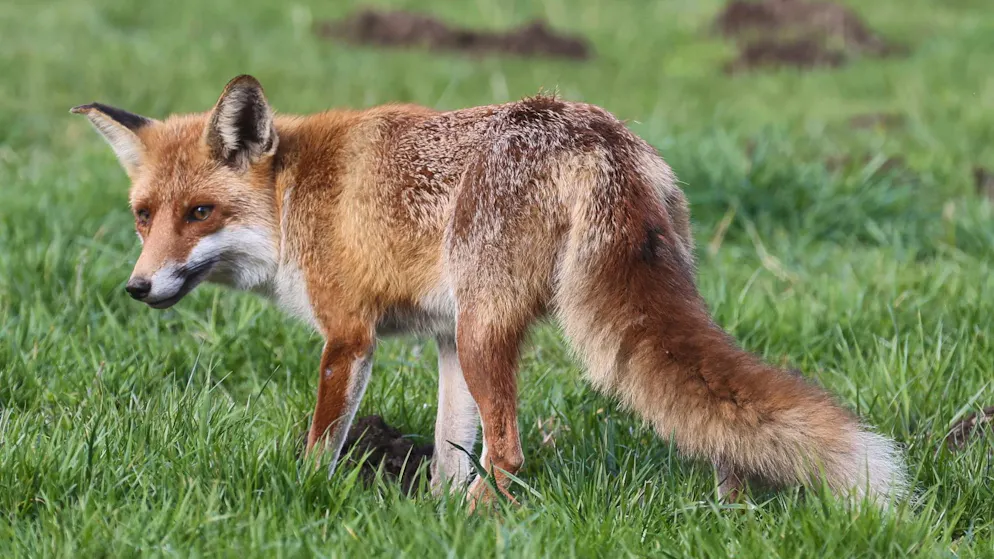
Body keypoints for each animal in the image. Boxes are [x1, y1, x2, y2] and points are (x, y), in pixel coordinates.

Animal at [71, 74, 907, 509]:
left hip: (485, 330)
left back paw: (484, 520)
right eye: (144, 215)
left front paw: (309, 500)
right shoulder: (441, 335)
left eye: (199, 213)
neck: (290, 198)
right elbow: (448, 447)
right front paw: (430, 516)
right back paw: (729, 508)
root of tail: (596, 134)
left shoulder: (350, 335)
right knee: (716, 415)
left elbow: (321, 444)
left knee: (509, 453)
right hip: (575, 319)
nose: (138, 286)